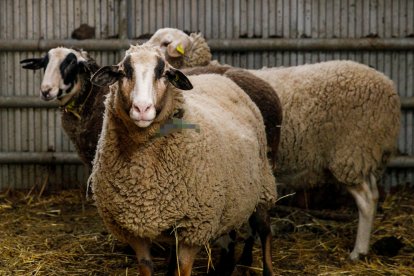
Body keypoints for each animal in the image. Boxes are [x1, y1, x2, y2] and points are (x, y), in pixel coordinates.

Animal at [90, 44, 278, 274]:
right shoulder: (135, 230)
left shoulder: (194, 227)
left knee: (264, 229)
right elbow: (147, 266)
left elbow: (183, 268)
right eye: (123, 72)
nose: (142, 109)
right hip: (232, 198)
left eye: (164, 73)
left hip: (262, 186)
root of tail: (218, 77)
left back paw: (266, 269)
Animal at [146, 28, 402, 260]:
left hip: (351, 152)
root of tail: (389, 88)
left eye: (165, 43)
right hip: (365, 154)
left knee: (366, 201)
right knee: (374, 194)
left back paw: (358, 251)